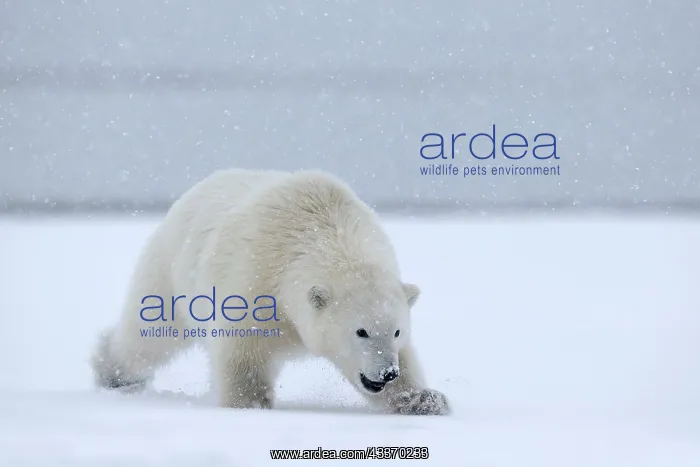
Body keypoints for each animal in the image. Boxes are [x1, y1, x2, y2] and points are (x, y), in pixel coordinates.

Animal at [91, 168, 450, 416]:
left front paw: (424, 399)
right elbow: (243, 350)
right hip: (172, 270)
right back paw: (114, 374)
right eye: (361, 331)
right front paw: (249, 403)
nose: (387, 373)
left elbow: (408, 360)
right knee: (149, 334)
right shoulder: (254, 282)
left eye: (397, 331)